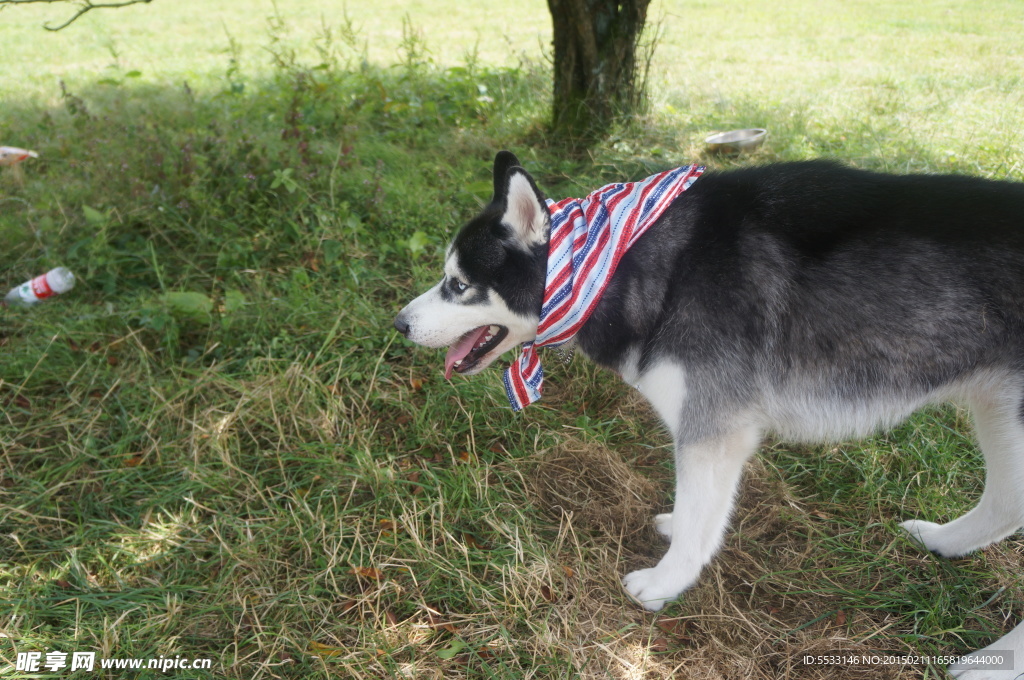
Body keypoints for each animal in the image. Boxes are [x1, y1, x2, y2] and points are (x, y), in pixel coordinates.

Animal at [395, 153, 1024, 680]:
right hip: (999, 415)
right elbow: (695, 510)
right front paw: (675, 527)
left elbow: (703, 521)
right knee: (1005, 506)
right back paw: (943, 542)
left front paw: (664, 583)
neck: (629, 264)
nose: (398, 323)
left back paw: (994, 663)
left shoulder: (715, 430)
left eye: (458, 285)